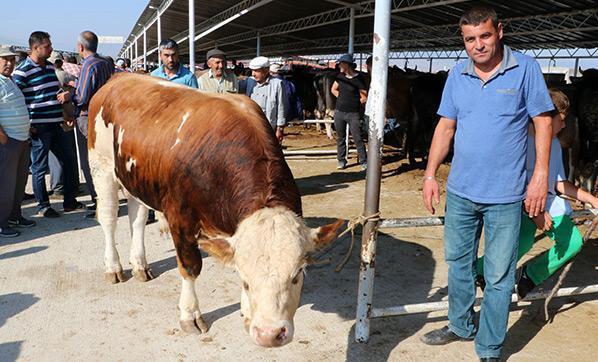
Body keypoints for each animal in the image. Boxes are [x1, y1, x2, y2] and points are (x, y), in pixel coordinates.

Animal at [87, 72, 344, 346]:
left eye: (297, 275)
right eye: (247, 282)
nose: (269, 334)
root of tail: (120, 77)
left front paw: (246, 311)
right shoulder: (180, 218)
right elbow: (190, 268)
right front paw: (190, 315)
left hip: (134, 179)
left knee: (137, 219)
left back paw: (139, 265)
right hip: (102, 168)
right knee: (109, 220)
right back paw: (114, 267)